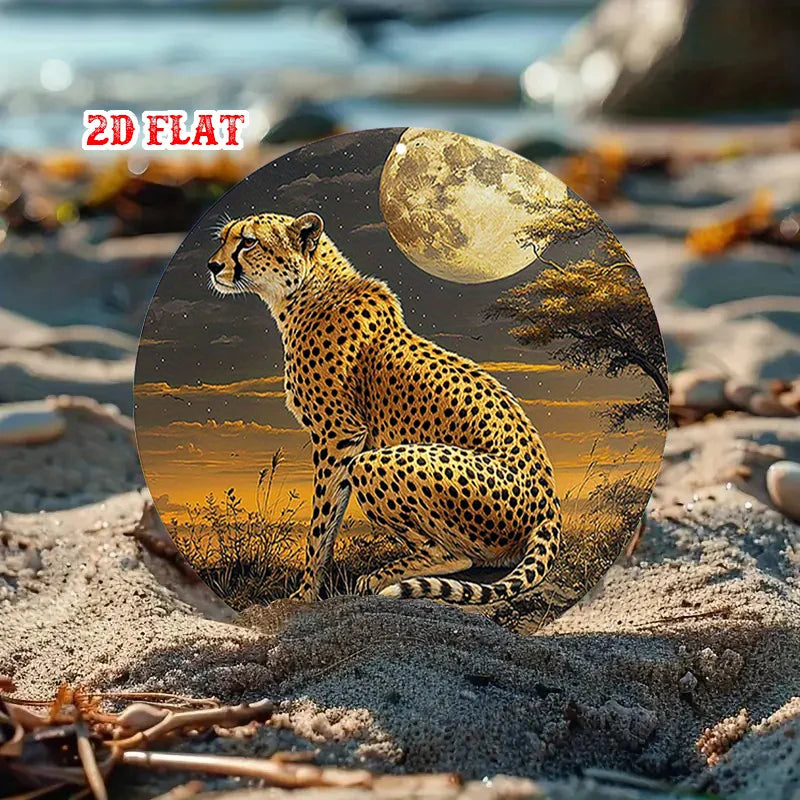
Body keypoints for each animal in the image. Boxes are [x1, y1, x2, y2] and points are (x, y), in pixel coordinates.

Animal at [207, 210, 562, 605]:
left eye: (248, 242)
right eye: (223, 238)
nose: (213, 265)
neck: (303, 292)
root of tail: (549, 506)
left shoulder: (339, 434)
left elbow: (321, 523)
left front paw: (304, 594)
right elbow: (329, 518)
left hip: (375, 464)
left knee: (456, 556)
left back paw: (379, 578)